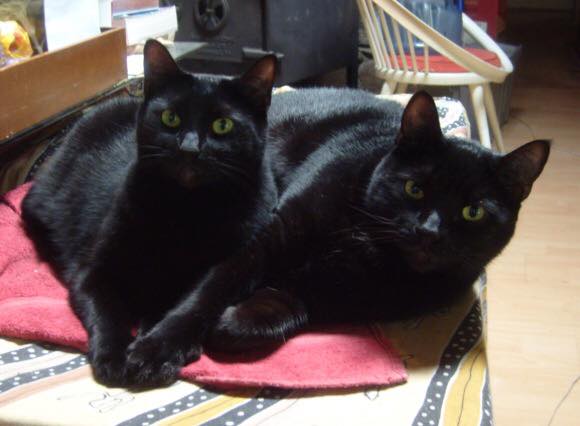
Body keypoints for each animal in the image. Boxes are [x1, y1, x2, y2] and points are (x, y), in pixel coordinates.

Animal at [21, 40, 276, 386]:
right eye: (170, 118)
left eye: (222, 125)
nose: (189, 148)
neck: (187, 210)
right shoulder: (91, 274)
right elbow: (106, 312)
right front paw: (115, 356)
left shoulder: (230, 264)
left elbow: (188, 304)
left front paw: (156, 350)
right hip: (40, 206)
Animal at [121, 87, 548, 380]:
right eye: (415, 189)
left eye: (473, 212)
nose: (429, 231)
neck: (369, 245)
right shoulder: (273, 233)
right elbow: (213, 286)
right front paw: (158, 348)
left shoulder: (355, 298)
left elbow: (294, 302)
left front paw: (235, 322)